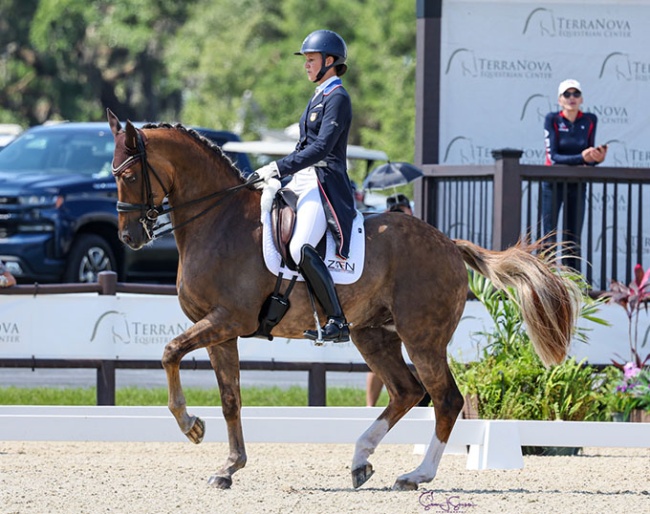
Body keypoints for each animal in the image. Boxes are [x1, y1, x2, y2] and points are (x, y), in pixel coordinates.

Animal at [106, 109, 576, 488]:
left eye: (127, 175)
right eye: (112, 174)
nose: (129, 238)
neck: (219, 222)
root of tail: (448, 243)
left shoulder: (227, 320)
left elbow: (169, 352)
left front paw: (191, 426)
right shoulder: (221, 330)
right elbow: (230, 399)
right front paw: (229, 467)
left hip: (422, 338)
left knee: (445, 399)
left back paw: (416, 475)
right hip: (373, 334)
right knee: (406, 391)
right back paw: (360, 460)